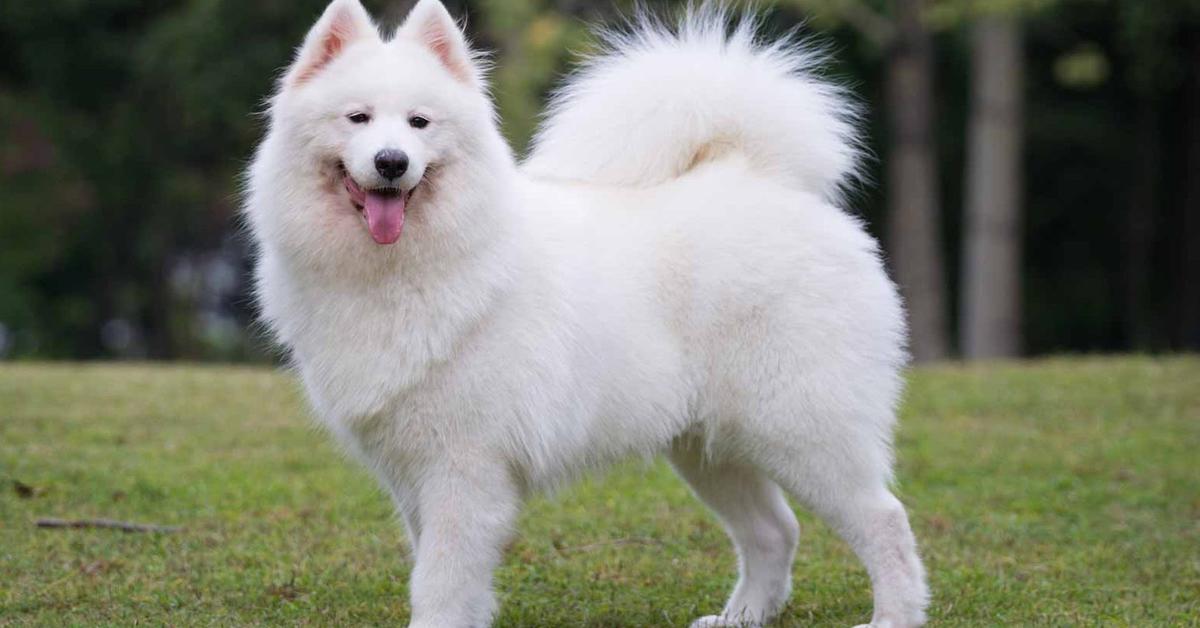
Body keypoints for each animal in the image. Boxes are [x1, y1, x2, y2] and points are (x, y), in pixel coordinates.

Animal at [243, 1, 931, 624]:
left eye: (419, 123)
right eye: (357, 118)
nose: (392, 162)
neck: (402, 268)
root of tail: (763, 178)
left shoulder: (465, 471)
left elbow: (439, 586)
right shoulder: (415, 475)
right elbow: (439, 575)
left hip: (801, 429)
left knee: (886, 521)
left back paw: (892, 617)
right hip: (711, 447)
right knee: (774, 531)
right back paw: (740, 617)